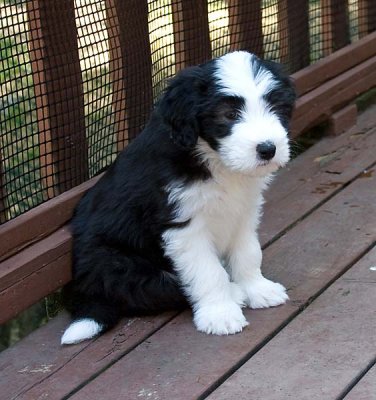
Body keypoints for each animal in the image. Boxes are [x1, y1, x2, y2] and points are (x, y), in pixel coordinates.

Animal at [62, 50, 296, 344]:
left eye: (275, 106)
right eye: (229, 114)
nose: (267, 149)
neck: (213, 161)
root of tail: (83, 287)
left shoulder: (244, 210)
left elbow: (248, 253)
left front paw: (257, 288)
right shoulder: (184, 226)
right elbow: (208, 273)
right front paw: (220, 314)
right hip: (118, 264)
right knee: (156, 290)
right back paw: (233, 294)